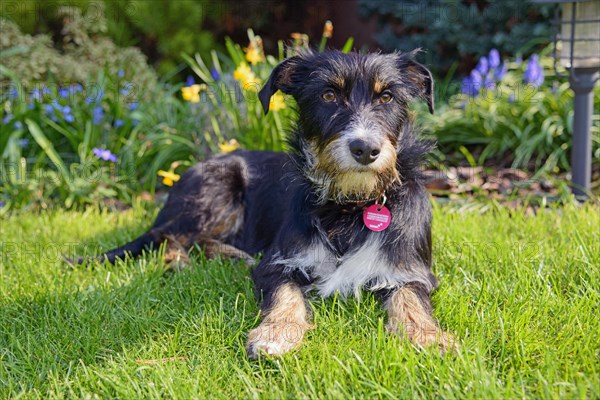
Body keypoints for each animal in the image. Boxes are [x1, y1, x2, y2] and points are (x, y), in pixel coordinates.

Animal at [78, 49, 454, 356]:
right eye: (328, 94)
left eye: (387, 96)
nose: (365, 149)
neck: (349, 204)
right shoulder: (278, 262)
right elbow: (285, 294)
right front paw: (276, 334)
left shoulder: (410, 269)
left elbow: (411, 299)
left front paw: (426, 336)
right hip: (217, 188)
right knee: (169, 237)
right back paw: (185, 262)